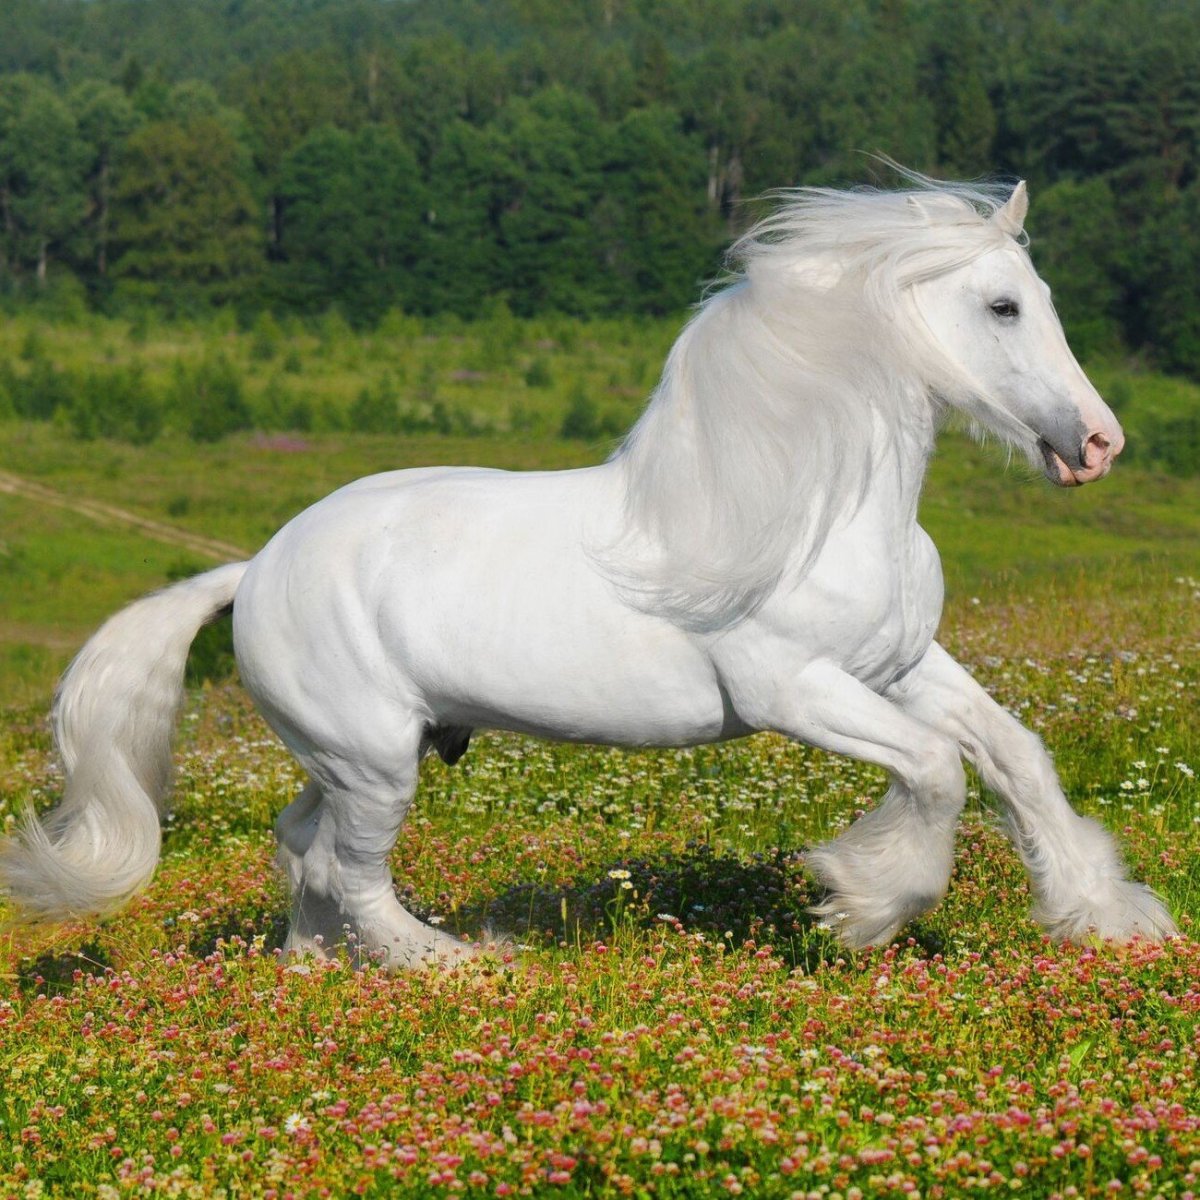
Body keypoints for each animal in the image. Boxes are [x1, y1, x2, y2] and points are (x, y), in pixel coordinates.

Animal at [0, 177, 1177, 966]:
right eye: (1002, 307)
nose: (1099, 444)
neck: (814, 508)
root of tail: (250, 570)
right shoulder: (794, 691)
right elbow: (935, 770)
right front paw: (860, 902)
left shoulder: (897, 666)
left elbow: (1014, 756)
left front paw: (1110, 919)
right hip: (374, 758)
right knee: (347, 865)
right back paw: (451, 965)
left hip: (353, 752)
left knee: (300, 846)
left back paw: (314, 966)